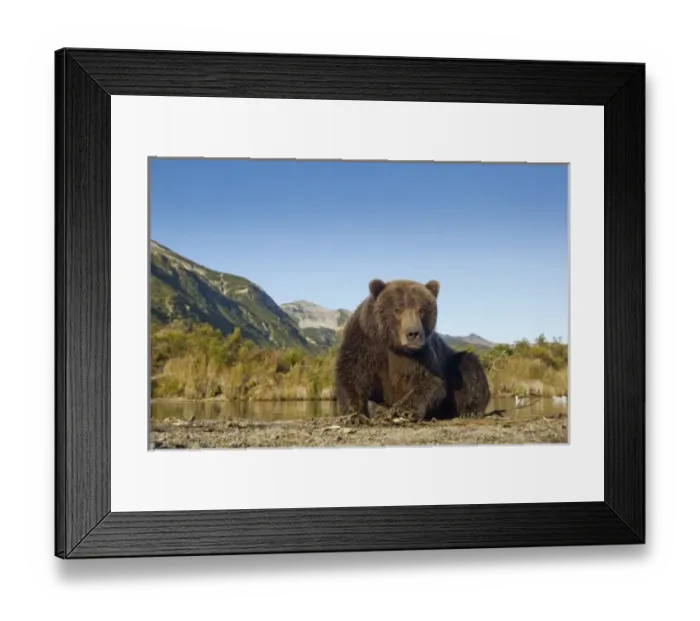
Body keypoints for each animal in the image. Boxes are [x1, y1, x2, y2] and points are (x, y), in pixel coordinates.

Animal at [334, 278, 491, 422]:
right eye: (397, 309)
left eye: (421, 310)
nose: (413, 333)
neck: (394, 344)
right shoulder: (365, 340)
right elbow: (352, 373)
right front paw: (354, 414)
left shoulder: (422, 353)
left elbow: (429, 381)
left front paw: (402, 410)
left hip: (450, 363)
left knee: (468, 366)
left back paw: (469, 411)